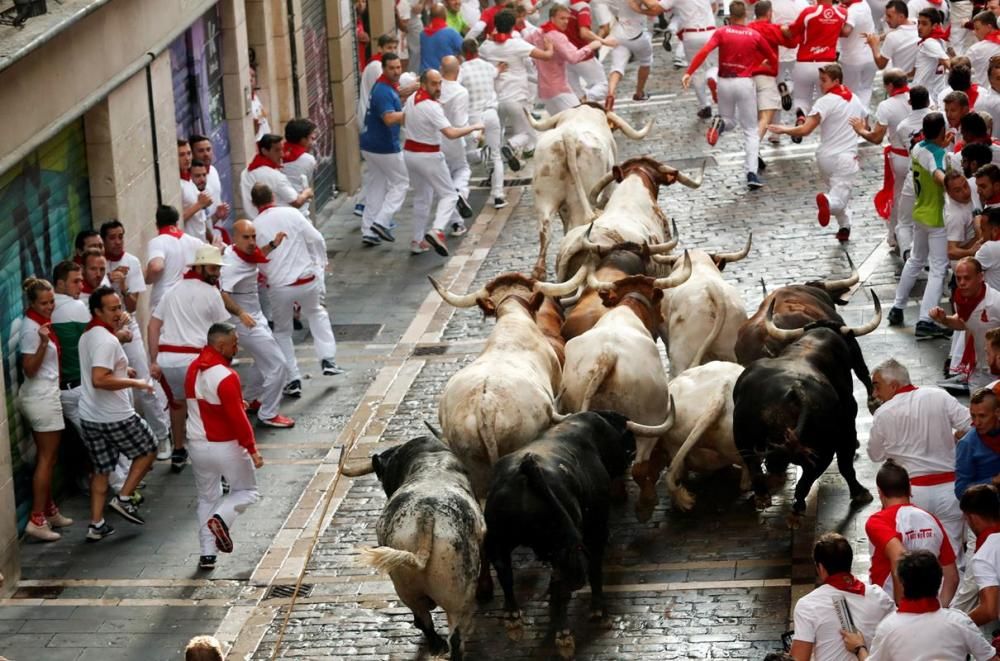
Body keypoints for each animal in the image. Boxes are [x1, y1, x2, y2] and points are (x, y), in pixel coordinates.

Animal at [342, 436, 486, 656]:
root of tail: (426, 516)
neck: (430, 459)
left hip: (406, 590)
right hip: (456, 599)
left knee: (425, 621)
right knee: (454, 638)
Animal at [484, 410, 672, 656]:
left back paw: (514, 620)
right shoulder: (596, 524)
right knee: (563, 581)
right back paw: (564, 636)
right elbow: (594, 567)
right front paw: (598, 610)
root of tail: (524, 475)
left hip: (500, 539)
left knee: (505, 572)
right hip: (564, 545)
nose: (630, 454)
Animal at [728, 294, 884, 524]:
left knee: (756, 468)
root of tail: (791, 393)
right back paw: (798, 509)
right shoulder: (847, 429)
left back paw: (764, 497)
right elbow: (845, 465)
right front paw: (860, 493)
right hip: (825, 447)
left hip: (742, 439)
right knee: (809, 479)